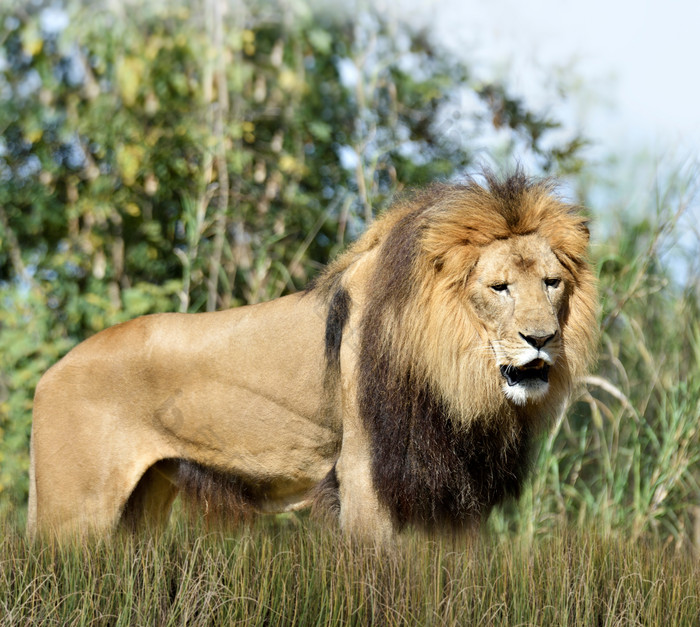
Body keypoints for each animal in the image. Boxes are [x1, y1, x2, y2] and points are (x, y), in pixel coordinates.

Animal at [26, 169, 596, 544]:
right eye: (499, 288)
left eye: (551, 283)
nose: (542, 338)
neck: (454, 375)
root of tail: (49, 373)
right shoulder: (365, 478)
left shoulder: (456, 490)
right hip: (72, 514)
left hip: (138, 511)